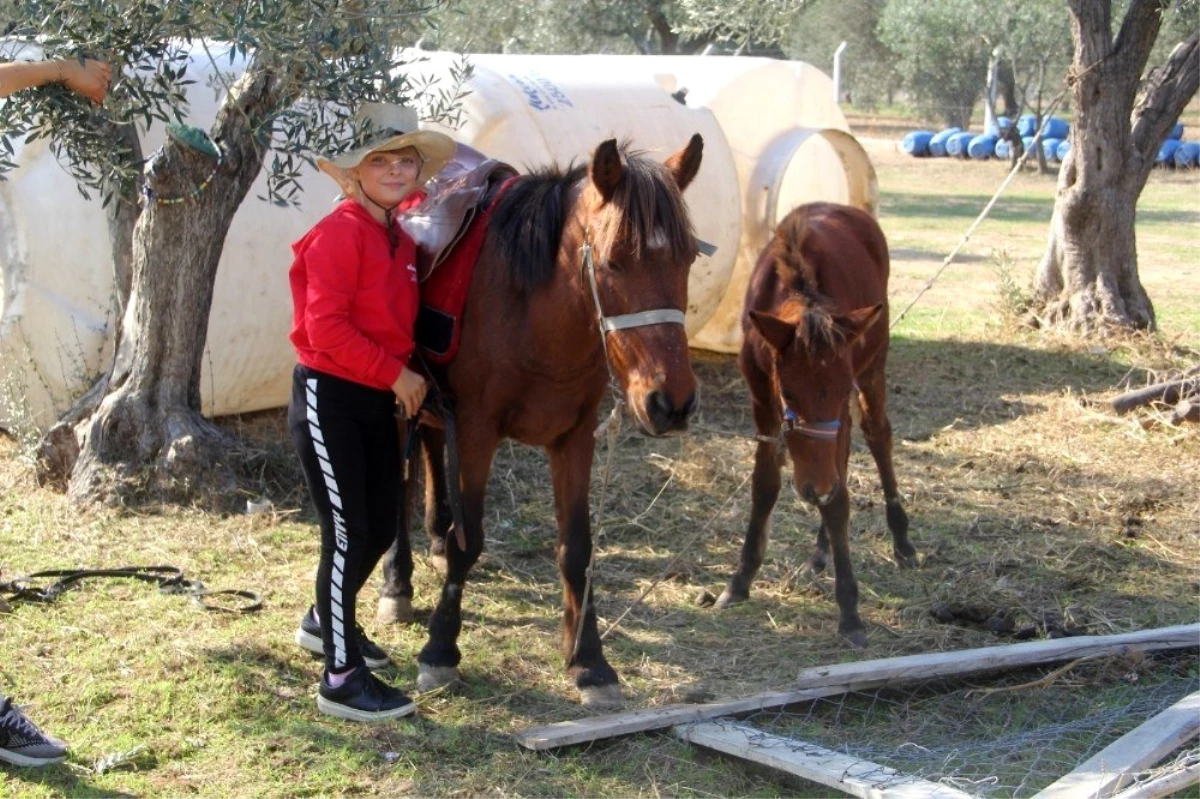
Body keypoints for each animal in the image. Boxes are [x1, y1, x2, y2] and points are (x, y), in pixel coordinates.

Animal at [379, 135, 705, 705]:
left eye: (686, 258)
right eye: (616, 261)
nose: (673, 402)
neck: (533, 312)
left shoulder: (575, 437)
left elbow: (577, 548)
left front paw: (589, 660)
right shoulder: (478, 431)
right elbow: (470, 542)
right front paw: (440, 650)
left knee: (430, 449)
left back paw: (435, 536)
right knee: (400, 486)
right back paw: (397, 581)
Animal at [710, 200, 916, 647]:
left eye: (837, 393)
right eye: (788, 394)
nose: (814, 487)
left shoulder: (844, 400)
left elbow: (839, 499)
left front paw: (850, 609)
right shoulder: (762, 401)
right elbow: (764, 486)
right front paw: (740, 580)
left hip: (873, 365)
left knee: (877, 435)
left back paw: (901, 540)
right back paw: (821, 549)